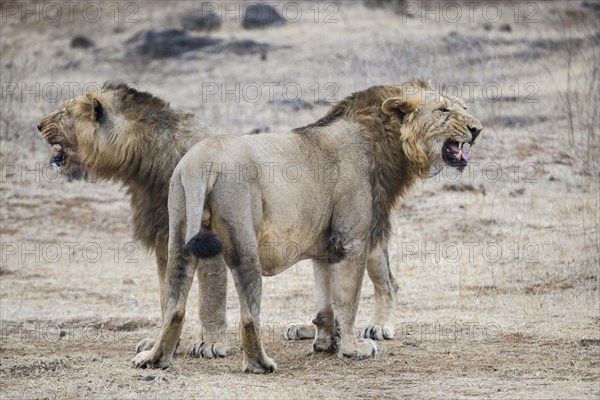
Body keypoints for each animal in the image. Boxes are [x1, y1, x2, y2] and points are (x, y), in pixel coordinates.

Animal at [37, 81, 404, 360]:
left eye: (64, 113)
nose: (39, 125)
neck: (144, 164)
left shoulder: (205, 237)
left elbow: (210, 293)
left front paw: (210, 344)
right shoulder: (165, 237)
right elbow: (167, 293)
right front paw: (159, 342)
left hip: (359, 233)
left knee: (385, 281)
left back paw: (379, 327)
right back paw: (305, 330)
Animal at [131, 79, 482, 374]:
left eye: (464, 107)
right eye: (443, 110)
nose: (477, 128)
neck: (386, 141)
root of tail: (201, 162)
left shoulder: (325, 244)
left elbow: (325, 300)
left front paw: (326, 343)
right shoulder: (350, 239)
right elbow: (347, 299)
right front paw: (352, 348)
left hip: (178, 229)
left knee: (174, 303)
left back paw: (154, 359)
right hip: (243, 238)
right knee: (249, 314)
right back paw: (260, 364)